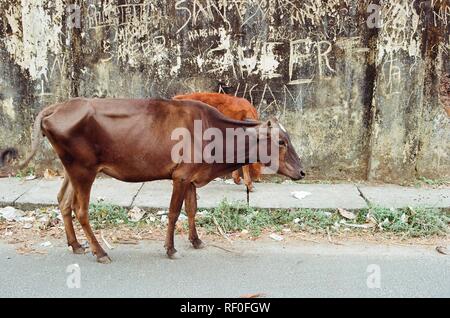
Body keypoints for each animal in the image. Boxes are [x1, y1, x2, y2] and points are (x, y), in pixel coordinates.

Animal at [18, 99, 306, 264]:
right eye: (282, 141)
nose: (302, 172)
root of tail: (57, 107)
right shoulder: (180, 176)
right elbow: (173, 212)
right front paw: (170, 249)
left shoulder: (191, 177)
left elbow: (192, 210)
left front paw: (196, 241)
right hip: (83, 170)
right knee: (80, 210)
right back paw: (100, 252)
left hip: (71, 169)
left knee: (63, 202)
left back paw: (76, 245)